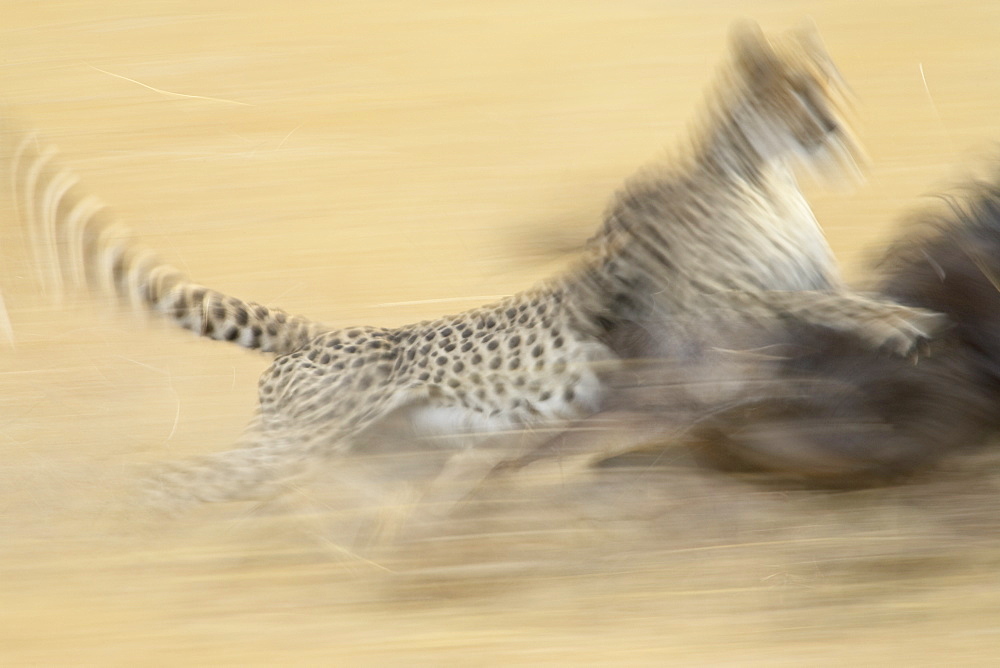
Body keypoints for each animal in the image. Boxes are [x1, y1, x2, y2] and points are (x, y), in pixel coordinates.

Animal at [5, 20, 944, 512]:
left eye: (828, 84)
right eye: (792, 90)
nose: (835, 129)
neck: (763, 173)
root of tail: (321, 332)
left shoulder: (761, 310)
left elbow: (834, 295)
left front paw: (904, 308)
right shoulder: (704, 326)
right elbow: (818, 308)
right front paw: (902, 323)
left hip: (363, 447)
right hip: (299, 440)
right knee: (171, 485)